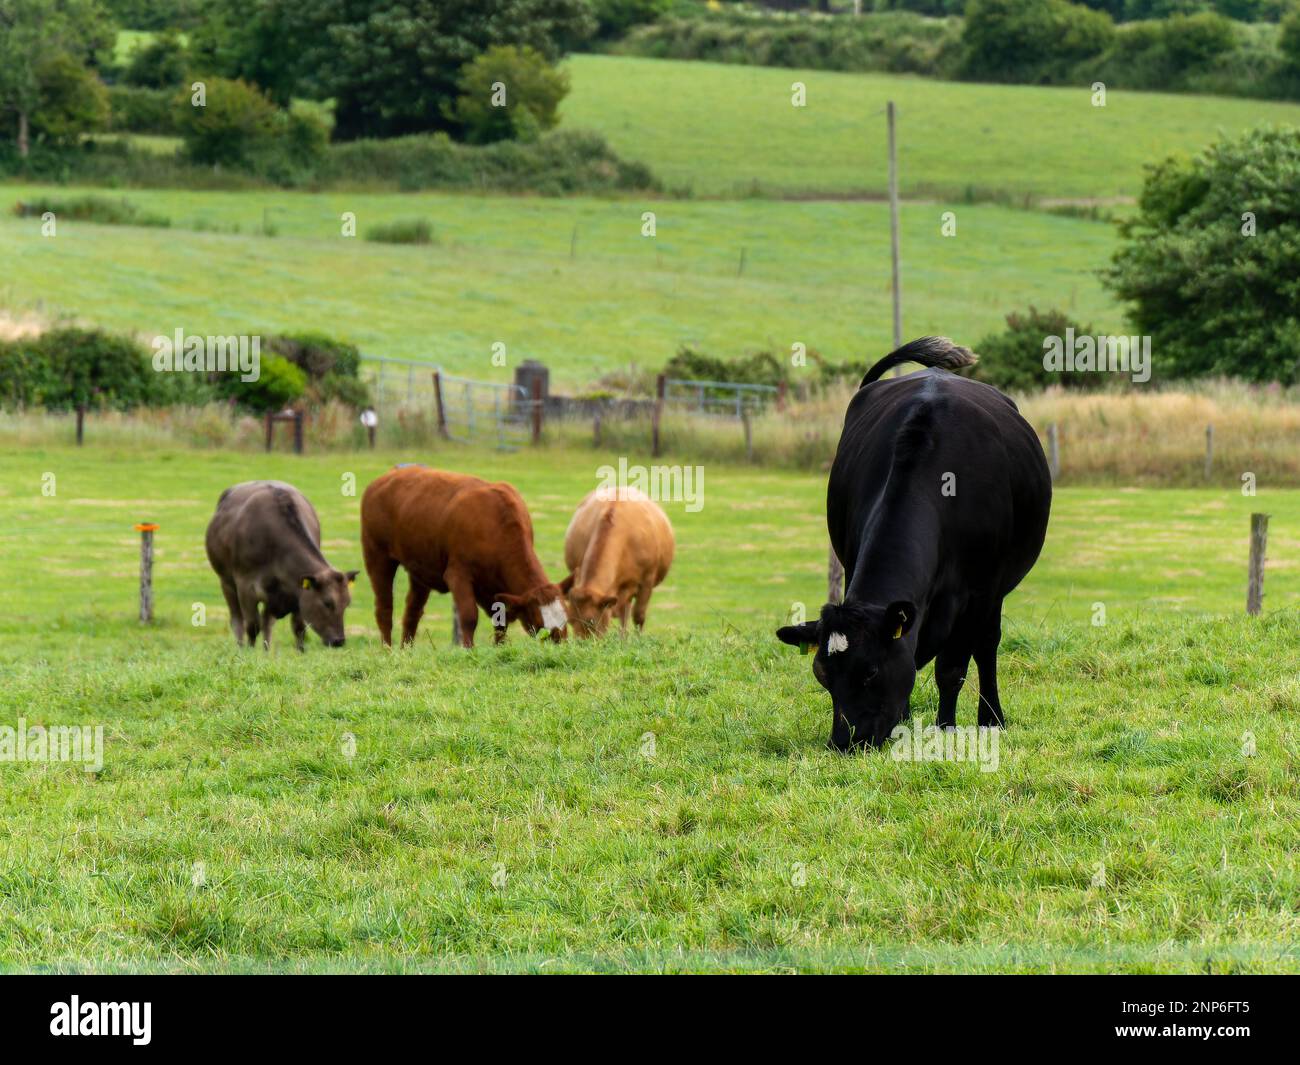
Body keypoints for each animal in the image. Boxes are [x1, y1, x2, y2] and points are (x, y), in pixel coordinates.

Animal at [205, 481, 358, 651]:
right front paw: (249, 653)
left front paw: (300, 652)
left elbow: (298, 628)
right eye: (327, 603)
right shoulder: (246, 587)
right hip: (226, 582)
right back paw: (241, 647)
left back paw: (266, 651)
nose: (339, 641)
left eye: (347, 603)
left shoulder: (297, 592)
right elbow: (252, 625)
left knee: (267, 622)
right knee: (237, 620)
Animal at [359, 465, 568, 648]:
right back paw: (387, 650)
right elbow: (469, 616)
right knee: (384, 609)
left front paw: (500, 648)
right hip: (377, 557)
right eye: (541, 626)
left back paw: (406, 651)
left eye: (566, 620)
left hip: (419, 569)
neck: (495, 524)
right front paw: (468, 649)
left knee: (412, 612)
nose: (562, 647)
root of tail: (384, 478)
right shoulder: (458, 574)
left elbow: (501, 621)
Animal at [775, 336, 1051, 751]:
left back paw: (991, 718)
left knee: (987, 646)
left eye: (871, 672)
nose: (844, 743)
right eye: (823, 676)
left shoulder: (979, 592)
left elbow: (952, 667)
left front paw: (946, 728)